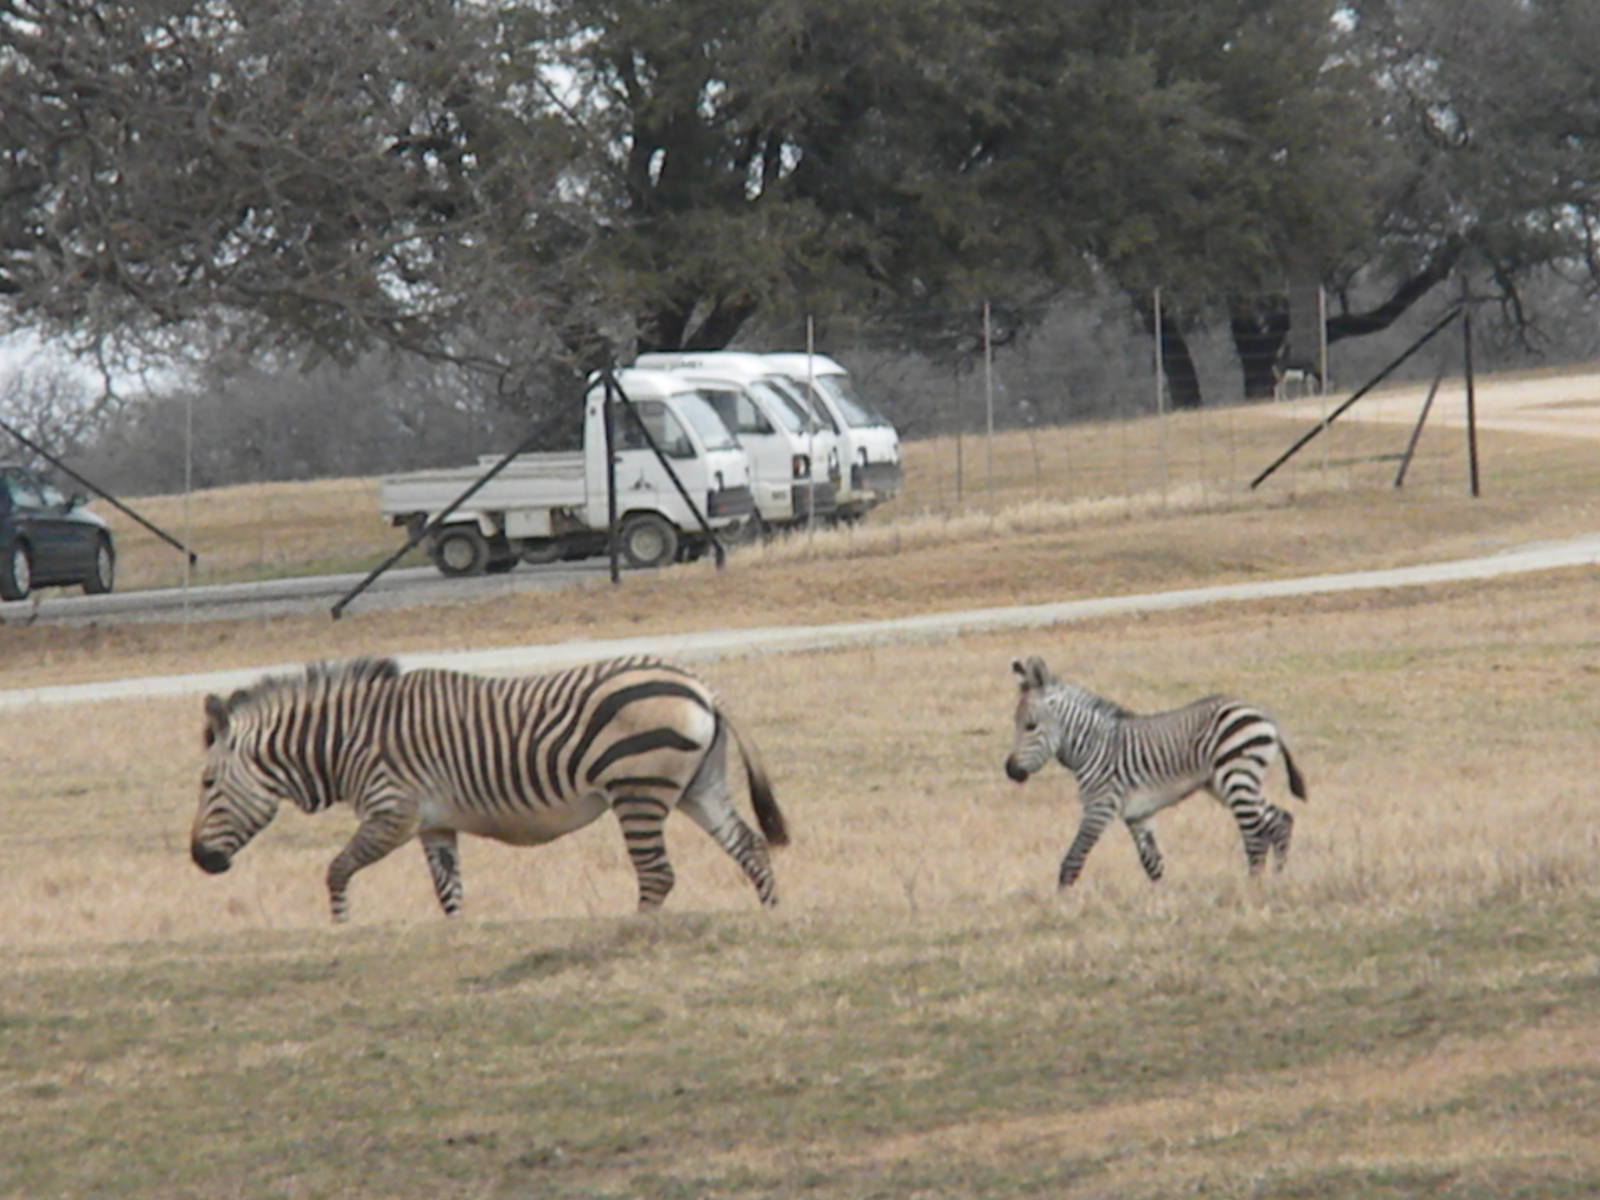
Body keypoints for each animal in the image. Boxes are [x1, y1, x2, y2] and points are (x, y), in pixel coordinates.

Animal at [189, 655, 789, 922]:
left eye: (208, 781)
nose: (199, 859)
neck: (349, 739)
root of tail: (702, 687)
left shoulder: (393, 812)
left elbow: (336, 870)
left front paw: (341, 929)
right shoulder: (434, 824)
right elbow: (449, 894)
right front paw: (457, 934)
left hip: (636, 790)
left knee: (657, 873)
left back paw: (637, 927)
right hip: (696, 787)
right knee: (750, 847)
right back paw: (774, 917)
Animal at [1003, 656, 1307, 889]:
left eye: (1030, 726)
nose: (1011, 771)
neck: (1093, 747)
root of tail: (1264, 714)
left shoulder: (1099, 807)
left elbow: (1073, 859)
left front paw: (1063, 902)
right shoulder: (1138, 815)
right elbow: (1153, 864)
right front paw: (1161, 900)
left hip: (1236, 776)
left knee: (1254, 835)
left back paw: (1253, 887)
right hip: (1225, 783)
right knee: (1279, 820)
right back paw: (1278, 880)